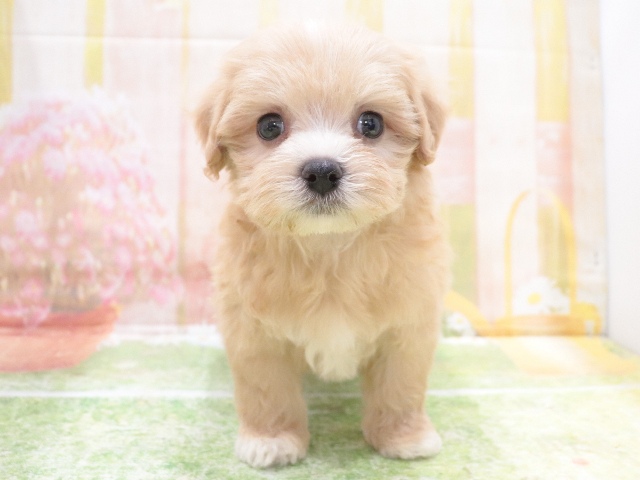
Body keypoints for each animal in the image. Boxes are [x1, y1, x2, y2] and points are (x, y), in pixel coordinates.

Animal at [195, 24, 449, 468]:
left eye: (371, 124)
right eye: (269, 127)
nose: (322, 171)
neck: (329, 247)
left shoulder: (408, 323)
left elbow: (401, 385)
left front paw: (404, 437)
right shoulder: (253, 332)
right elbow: (267, 389)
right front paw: (273, 440)